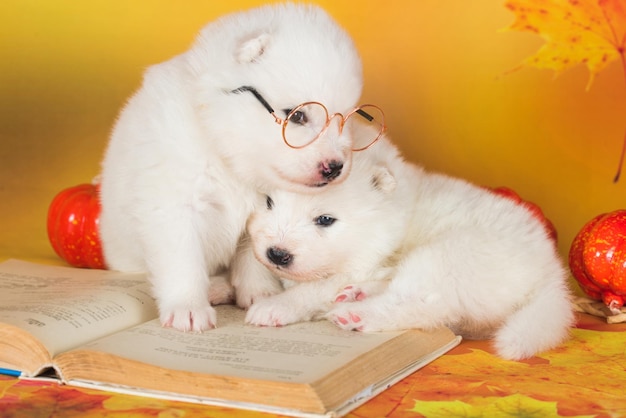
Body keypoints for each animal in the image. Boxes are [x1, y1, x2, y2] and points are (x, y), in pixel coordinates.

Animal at [98, 3, 386, 330]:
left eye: (344, 120)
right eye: (297, 116)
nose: (335, 167)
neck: (224, 154)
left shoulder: (258, 215)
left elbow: (253, 257)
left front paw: (261, 294)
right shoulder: (173, 202)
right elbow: (182, 260)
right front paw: (187, 307)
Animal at [232, 134, 572, 360]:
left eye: (325, 220)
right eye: (268, 202)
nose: (278, 254)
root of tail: (551, 272)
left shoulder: (362, 264)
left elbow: (311, 289)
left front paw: (275, 306)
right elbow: (249, 246)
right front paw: (256, 285)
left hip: (451, 255)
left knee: (424, 304)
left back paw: (356, 314)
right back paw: (357, 294)